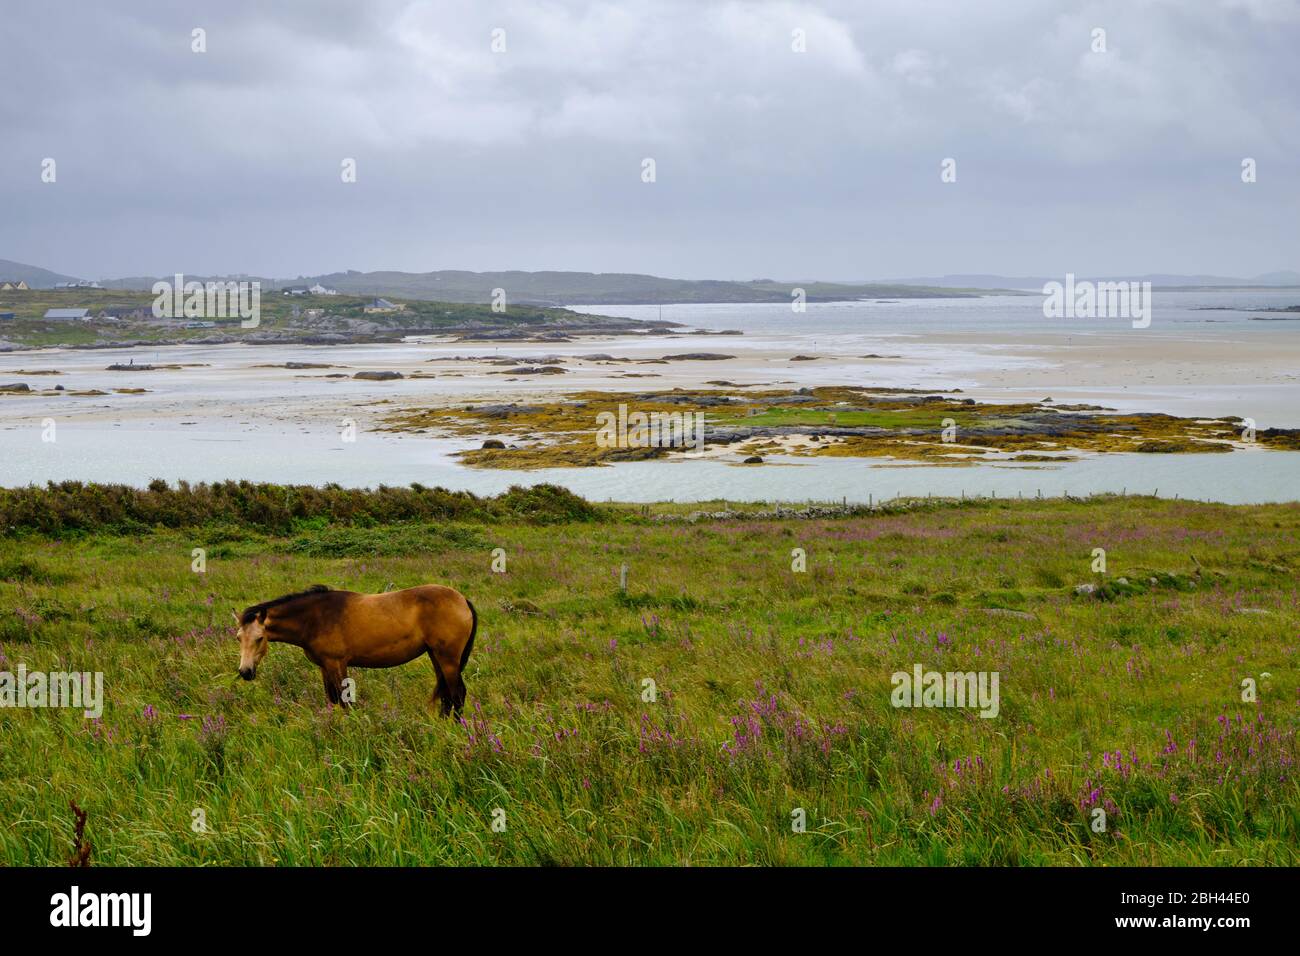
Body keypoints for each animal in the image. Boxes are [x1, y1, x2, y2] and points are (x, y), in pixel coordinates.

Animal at [233, 582, 478, 717]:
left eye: (259, 638)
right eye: (238, 638)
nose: (245, 672)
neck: (315, 618)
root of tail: (462, 600)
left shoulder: (337, 663)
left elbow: (345, 702)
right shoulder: (325, 666)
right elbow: (333, 700)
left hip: (448, 659)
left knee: (457, 694)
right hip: (436, 656)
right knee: (447, 695)